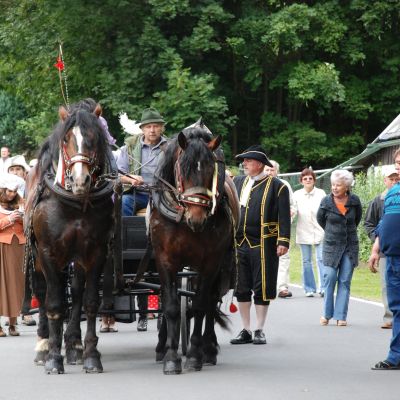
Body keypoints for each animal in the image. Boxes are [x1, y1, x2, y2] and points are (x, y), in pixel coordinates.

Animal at [24, 101, 115, 376]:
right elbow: (54, 303)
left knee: (74, 293)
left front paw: (91, 355)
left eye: (95, 138)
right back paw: (44, 344)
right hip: (37, 258)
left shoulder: (96, 252)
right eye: (66, 140)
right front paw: (54, 357)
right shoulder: (47, 252)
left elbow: (89, 302)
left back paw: (73, 344)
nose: (80, 180)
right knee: (42, 292)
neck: (74, 204)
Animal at [148, 122, 239, 376]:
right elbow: (169, 307)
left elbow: (199, 306)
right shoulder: (165, 259)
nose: (196, 218)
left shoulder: (210, 263)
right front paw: (170, 357)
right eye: (183, 168)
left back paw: (208, 349)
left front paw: (194, 356)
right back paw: (162, 346)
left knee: (210, 303)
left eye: (211, 169)